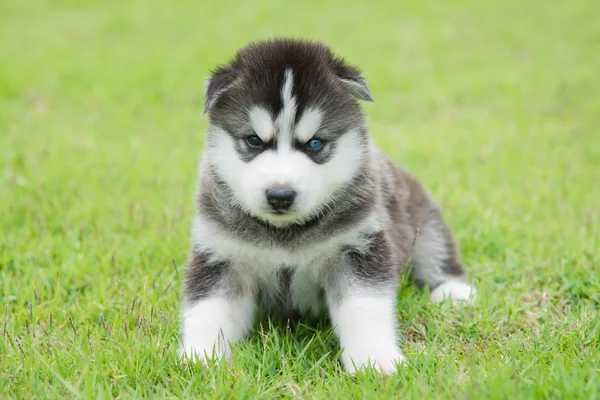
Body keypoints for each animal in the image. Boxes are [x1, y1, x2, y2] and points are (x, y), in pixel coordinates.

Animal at [180, 39, 476, 374]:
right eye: (254, 140)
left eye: (315, 143)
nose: (280, 195)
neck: (285, 233)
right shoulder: (220, 256)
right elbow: (208, 310)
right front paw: (201, 357)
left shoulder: (357, 250)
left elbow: (365, 310)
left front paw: (374, 359)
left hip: (423, 223)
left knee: (436, 254)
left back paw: (454, 292)